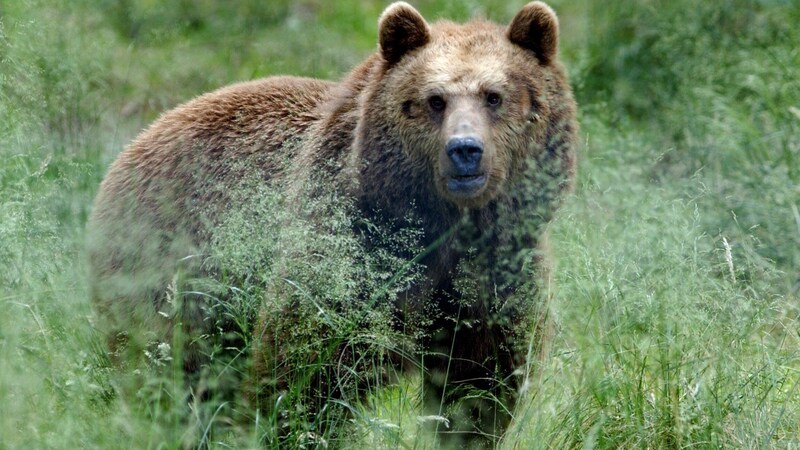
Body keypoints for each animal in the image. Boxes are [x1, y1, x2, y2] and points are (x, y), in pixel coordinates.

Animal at [86, 1, 576, 446]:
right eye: (434, 100)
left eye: (495, 96)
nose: (464, 150)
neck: (440, 227)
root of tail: (135, 143)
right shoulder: (350, 249)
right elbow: (306, 371)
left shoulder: (495, 273)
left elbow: (480, 388)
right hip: (171, 269)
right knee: (166, 368)